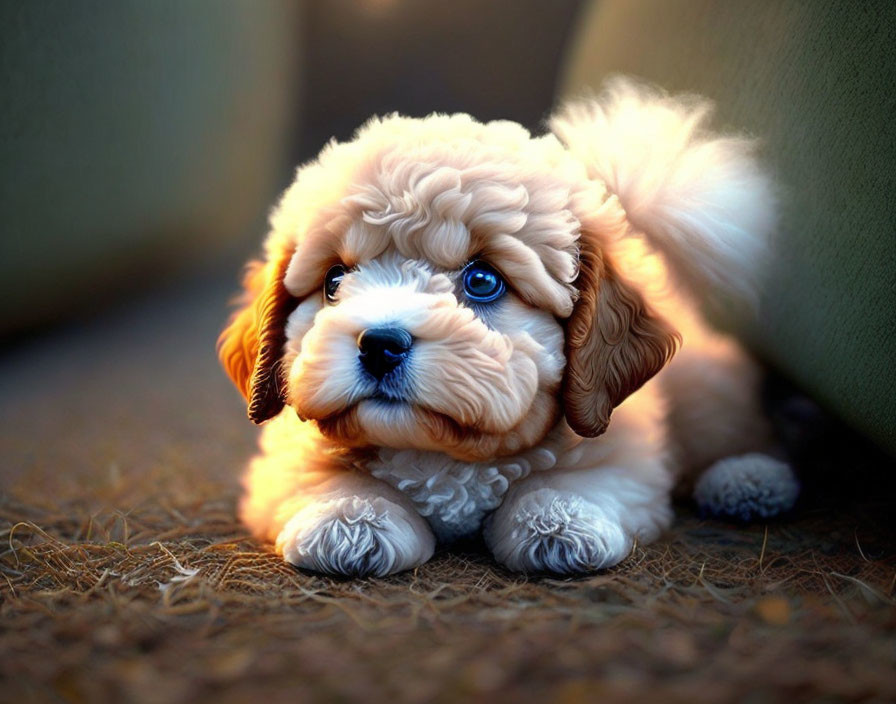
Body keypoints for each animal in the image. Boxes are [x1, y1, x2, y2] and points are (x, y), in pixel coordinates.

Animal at [217, 78, 800, 576]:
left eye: (482, 281)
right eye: (334, 280)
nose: (379, 344)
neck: (444, 456)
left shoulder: (624, 450)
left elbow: (579, 477)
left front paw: (557, 519)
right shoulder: (280, 466)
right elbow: (323, 475)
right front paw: (352, 519)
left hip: (704, 392)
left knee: (732, 431)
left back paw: (749, 478)